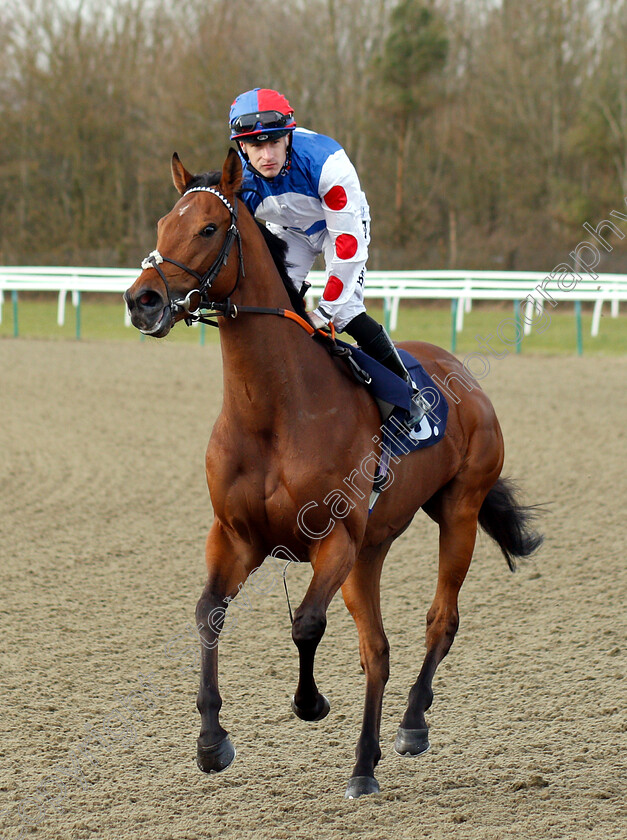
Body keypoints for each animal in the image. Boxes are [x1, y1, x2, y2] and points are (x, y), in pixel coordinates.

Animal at [125, 151, 544, 800]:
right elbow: (208, 612)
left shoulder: (334, 540)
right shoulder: (235, 537)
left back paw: (412, 724)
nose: (142, 300)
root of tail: (464, 378)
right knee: (378, 650)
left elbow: (305, 624)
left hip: (458, 512)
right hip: (372, 551)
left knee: (440, 621)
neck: (274, 410)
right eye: (165, 224)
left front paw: (311, 703)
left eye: (208, 229)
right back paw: (364, 763)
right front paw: (211, 739)